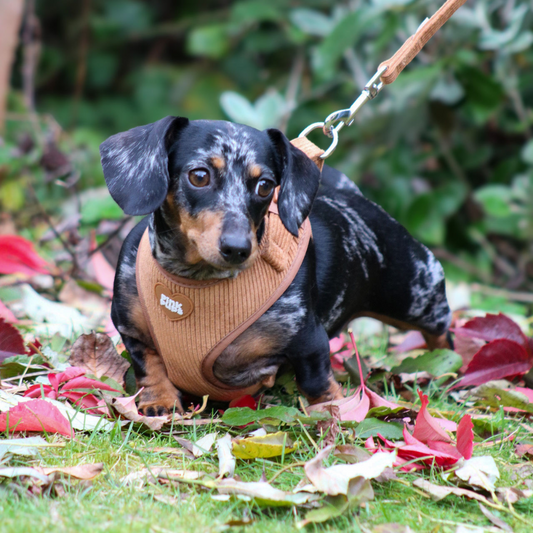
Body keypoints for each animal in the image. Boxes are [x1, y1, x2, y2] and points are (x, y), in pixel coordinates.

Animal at [100, 117, 448, 416]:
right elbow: (149, 365)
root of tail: (351, 194)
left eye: (265, 186)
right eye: (199, 176)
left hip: (416, 294)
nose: (238, 248)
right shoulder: (130, 328)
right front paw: (159, 400)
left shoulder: (309, 339)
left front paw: (332, 414)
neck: (197, 282)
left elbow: (316, 383)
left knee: (441, 328)